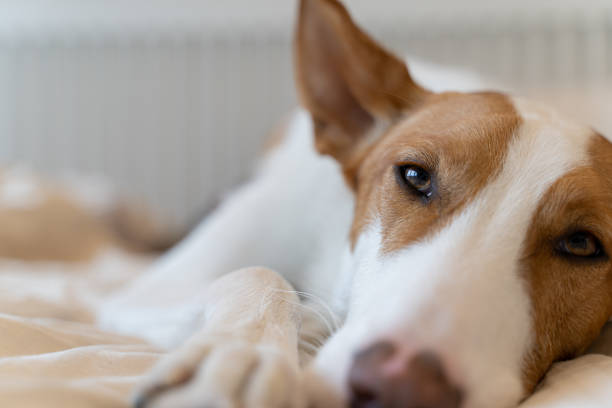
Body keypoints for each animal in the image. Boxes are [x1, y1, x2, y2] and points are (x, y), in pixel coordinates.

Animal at [99, 0, 612, 408]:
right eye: (415, 177)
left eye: (582, 244)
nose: (401, 388)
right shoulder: (150, 288)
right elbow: (259, 276)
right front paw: (237, 358)